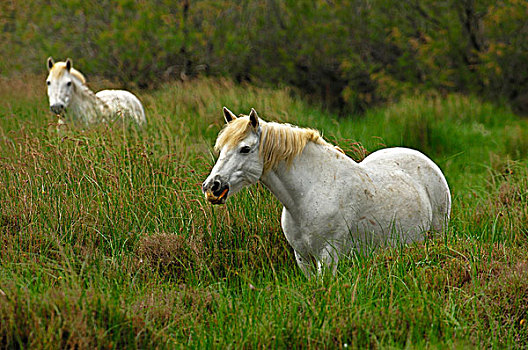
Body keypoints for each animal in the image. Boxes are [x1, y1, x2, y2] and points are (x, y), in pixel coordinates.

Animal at [202, 108, 450, 278]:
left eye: (245, 149)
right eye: (221, 148)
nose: (212, 187)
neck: (309, 194)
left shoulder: (329, 257)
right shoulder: (303, 258)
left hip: (436, 233)